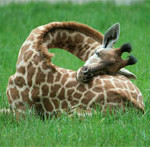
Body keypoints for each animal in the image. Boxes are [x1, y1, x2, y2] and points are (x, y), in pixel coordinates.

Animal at [5, 21, 144, 119]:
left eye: (111, 70)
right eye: (97, 53)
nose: (85, 74)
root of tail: (139, 108)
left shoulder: (21, 111)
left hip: (71, 114)